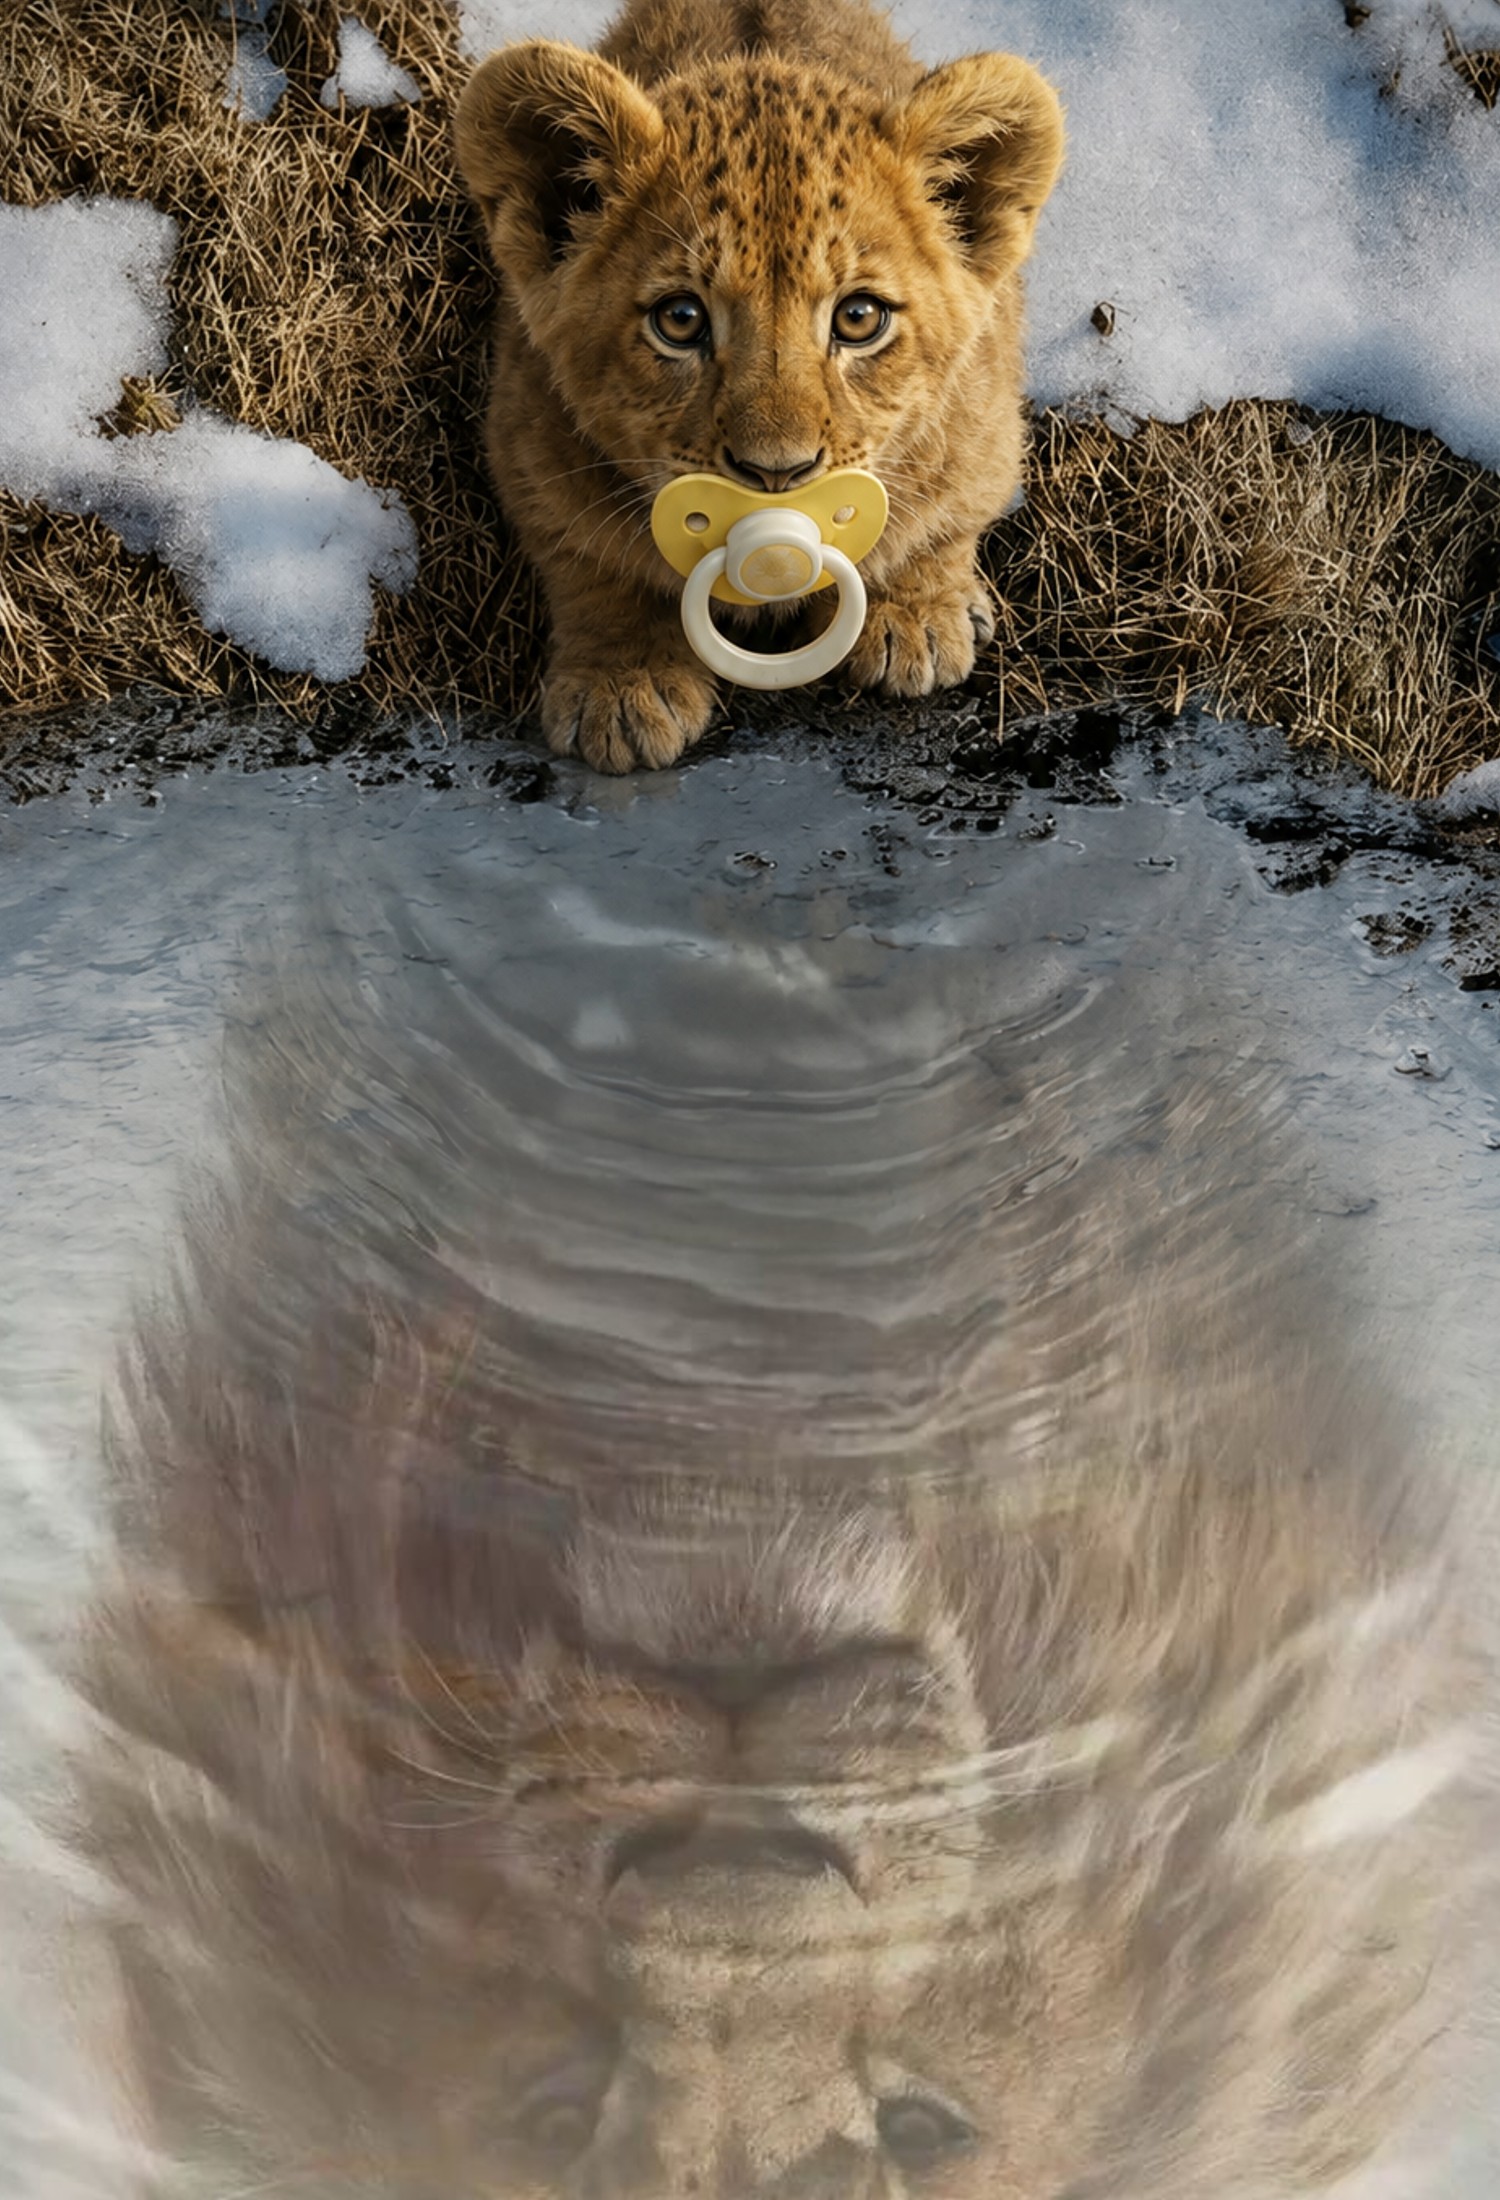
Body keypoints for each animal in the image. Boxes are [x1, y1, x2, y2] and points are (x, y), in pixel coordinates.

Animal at [452, 0, 1065, 772]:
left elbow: (941, 522)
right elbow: (594, 565)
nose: (778, 473)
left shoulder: (985, 426)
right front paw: (621, 684)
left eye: (859, 318)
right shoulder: (528, 446)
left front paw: (914, 618)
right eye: (680, 320)